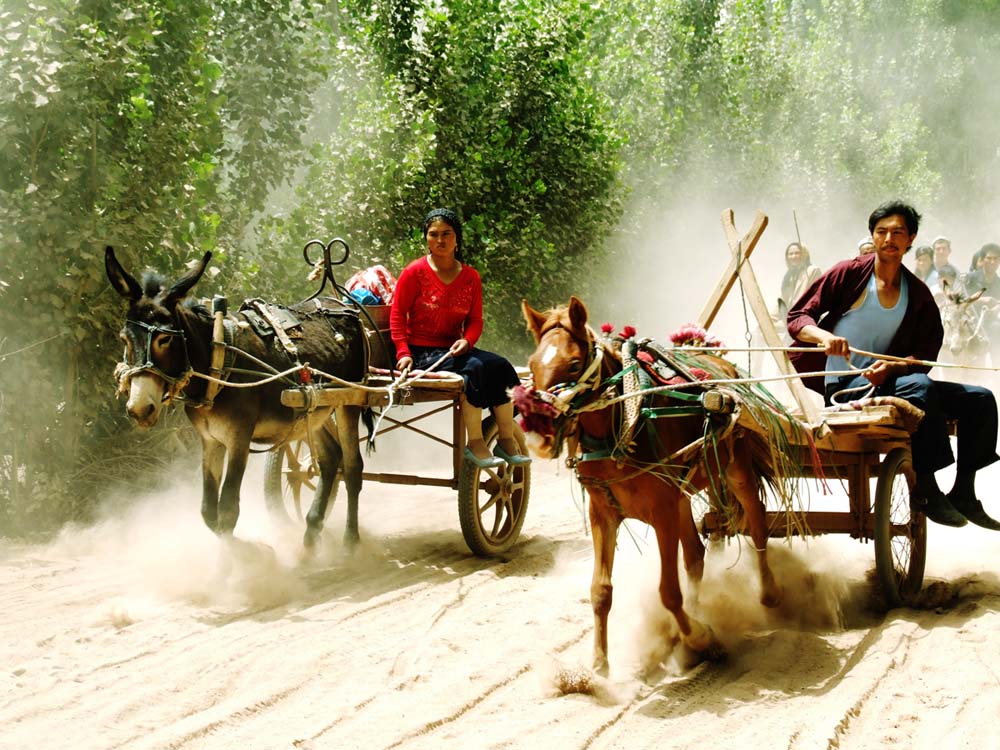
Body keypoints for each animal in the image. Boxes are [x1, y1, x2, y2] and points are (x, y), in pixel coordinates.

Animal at [106, 250, 372, 548]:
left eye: (164, 339)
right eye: (124, 339)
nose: (140, 410)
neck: (217, 363)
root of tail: (341, 306)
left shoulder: (239, 439)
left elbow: (228, 509)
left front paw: (243, 554)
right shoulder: (210, 440)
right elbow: (208, 511)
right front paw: (244, 550)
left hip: (350, 400)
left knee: (353, 466)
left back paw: (350, 541)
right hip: (315, 409)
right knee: (330, 458)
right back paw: (312, 533)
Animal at [520, 296, 784, 672]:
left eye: (572, 365)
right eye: (531, 364)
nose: (537, 437)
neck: (623, 424)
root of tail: (722, 364)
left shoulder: (663, 513)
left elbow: (669, 592)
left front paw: (700, 638)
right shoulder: (604, 513)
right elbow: (600, 591)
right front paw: (598, 666)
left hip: (736, 469)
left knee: (757, 520)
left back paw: (768, 593)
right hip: (686, 492)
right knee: (696, 555)